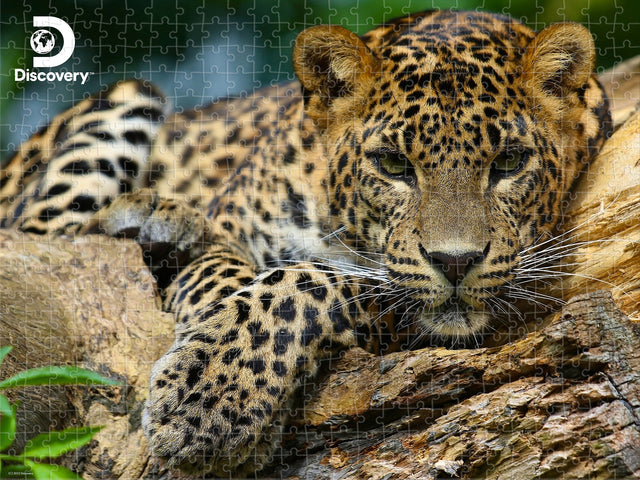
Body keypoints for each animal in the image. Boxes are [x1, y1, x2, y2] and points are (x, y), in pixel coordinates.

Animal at [0, 9, 611, 475]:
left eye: (509, 163)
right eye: (393, 165)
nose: (455, 263)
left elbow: (305, 285)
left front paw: (212, 399)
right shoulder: (228, 228)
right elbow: (229, 282)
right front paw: (211, 387)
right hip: (128, 101)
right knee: (38, 238)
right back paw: (149, 216)